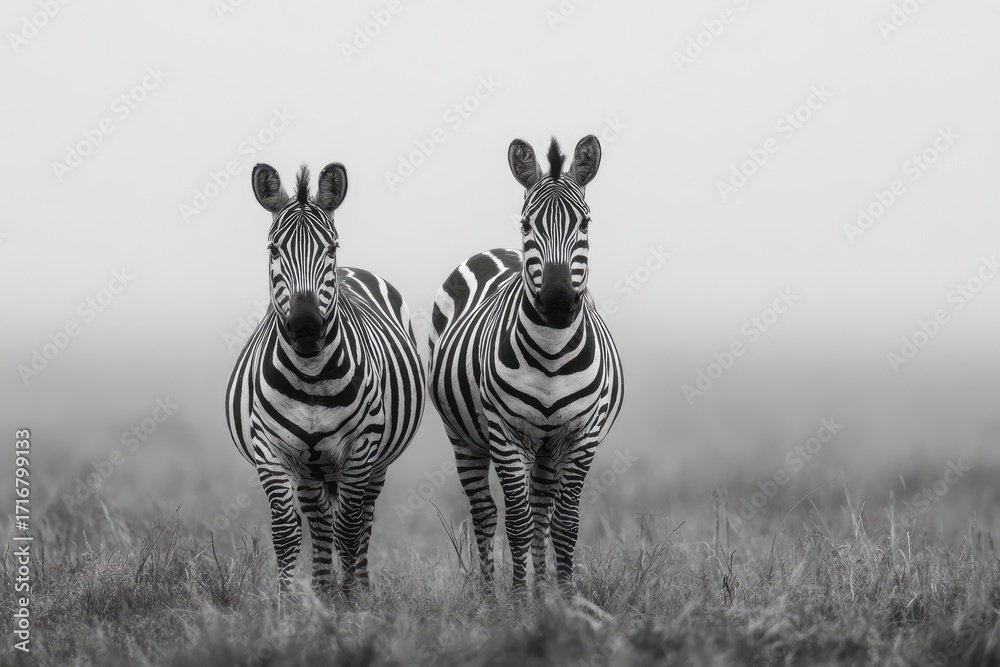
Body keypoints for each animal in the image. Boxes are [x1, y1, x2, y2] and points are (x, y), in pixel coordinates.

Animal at [225, 162, 425, 594]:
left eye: (331, 248)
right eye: (273, 250)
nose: (305, 326)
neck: (311, 376)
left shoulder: (361, 449)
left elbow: (349, 530)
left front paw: (351, 601)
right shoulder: (272, 452)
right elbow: (287, 533)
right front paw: (290, 603)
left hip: (375, 463)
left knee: (361, 519)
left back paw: (357, 587)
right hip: (310, 469)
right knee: (319, 523)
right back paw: (320, 588)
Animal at [427, 136, 624, 598]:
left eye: (585, 224)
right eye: (526, 225)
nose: (556, 302)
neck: (551, 352)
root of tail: (496, 251)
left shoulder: (581, 435)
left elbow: (564, 525)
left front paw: (564, 599)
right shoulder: (505, 433)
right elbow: (515, 523)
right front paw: (516, 603)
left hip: (547, 447)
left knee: (541, 511)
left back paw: (540, 592)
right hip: (463, 436)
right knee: (485, 512)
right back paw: (488, 597)